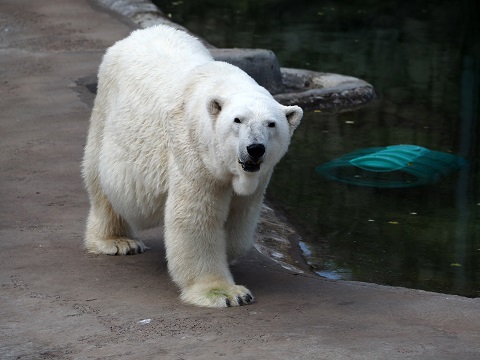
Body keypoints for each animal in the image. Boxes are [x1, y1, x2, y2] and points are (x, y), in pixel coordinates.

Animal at [81, 24, 302, 306]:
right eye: (237, 120)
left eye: (271, 124)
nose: (255, 148)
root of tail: (136, 35)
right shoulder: (195, 155)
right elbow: (196, 219)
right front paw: (226, 293)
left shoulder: (259, 176)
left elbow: (240, 216)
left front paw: (228, 254)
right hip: (107, 110)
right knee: (101, 179)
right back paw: (118, 241)